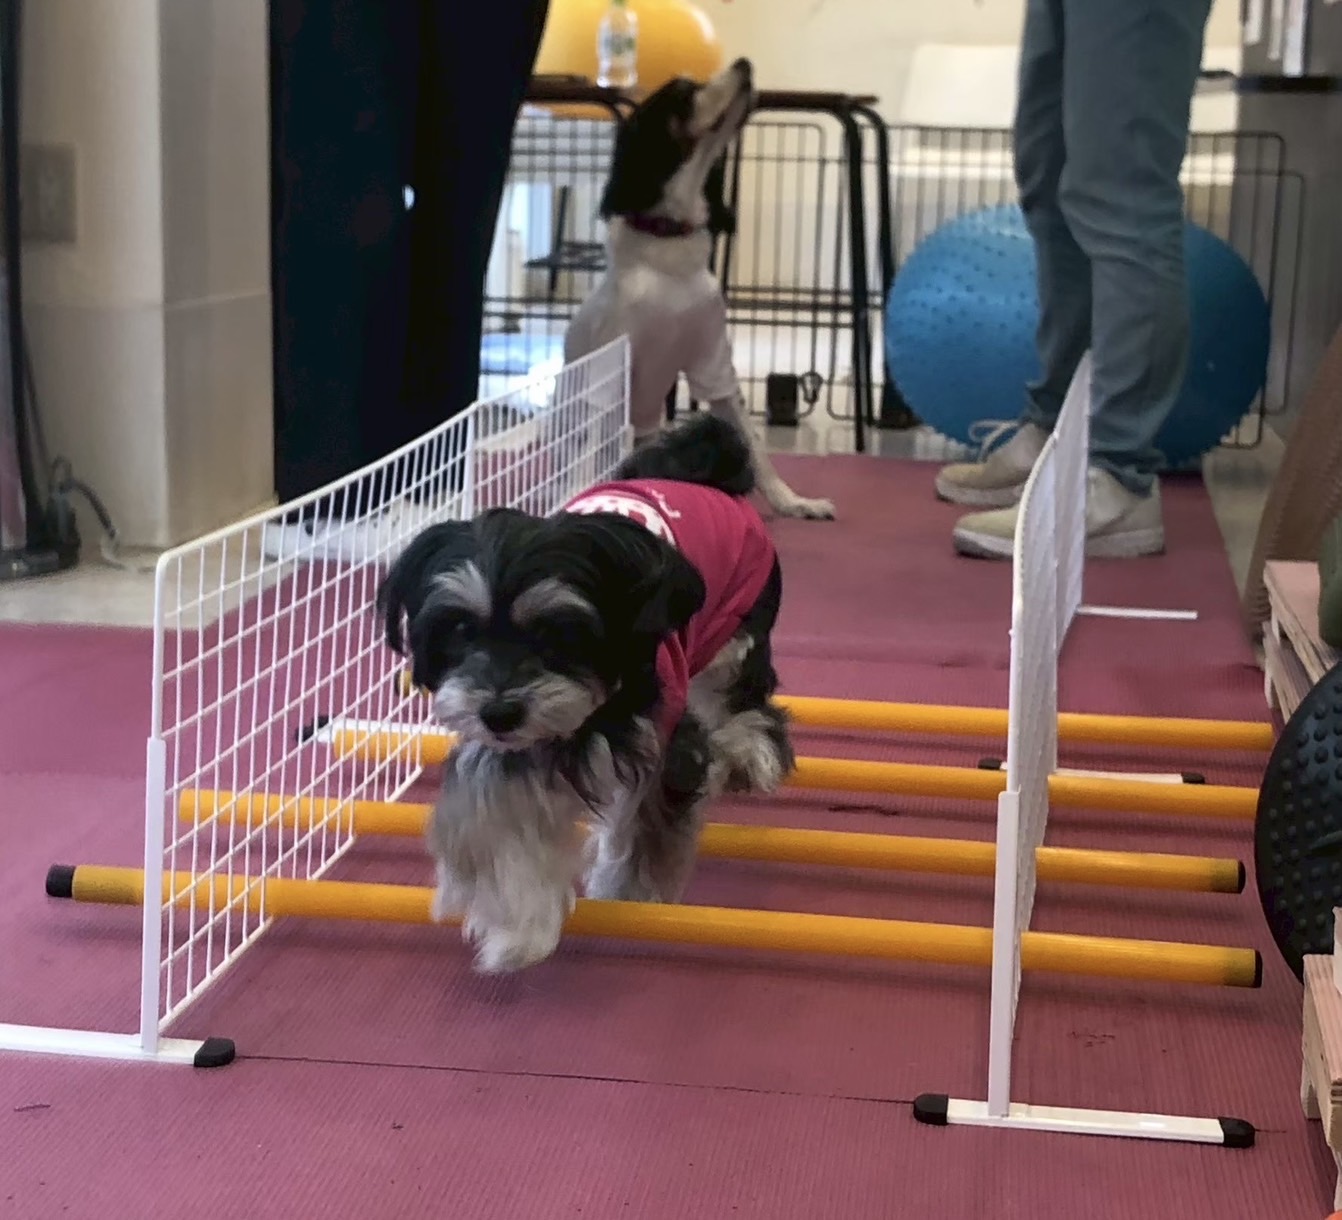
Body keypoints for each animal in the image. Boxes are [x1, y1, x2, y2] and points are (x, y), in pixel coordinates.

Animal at [376, 413, 795, 973]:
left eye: (556, 632)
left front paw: (629, 894)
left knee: (751, 711)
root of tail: (707, 472)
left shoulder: (665, 735)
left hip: (736, 637)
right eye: (461, 630)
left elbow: (647, 829)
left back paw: (749, 755)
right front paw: (518, 929)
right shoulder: (510, 750)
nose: (499, 713)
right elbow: (504, 829)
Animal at [563, 58, 836, 522]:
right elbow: (592, 455)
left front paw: (794, 501)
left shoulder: (714, 361)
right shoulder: (607, 380)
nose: (745, 63)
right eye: (682, 92)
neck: (668, 253)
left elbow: (755, 444)